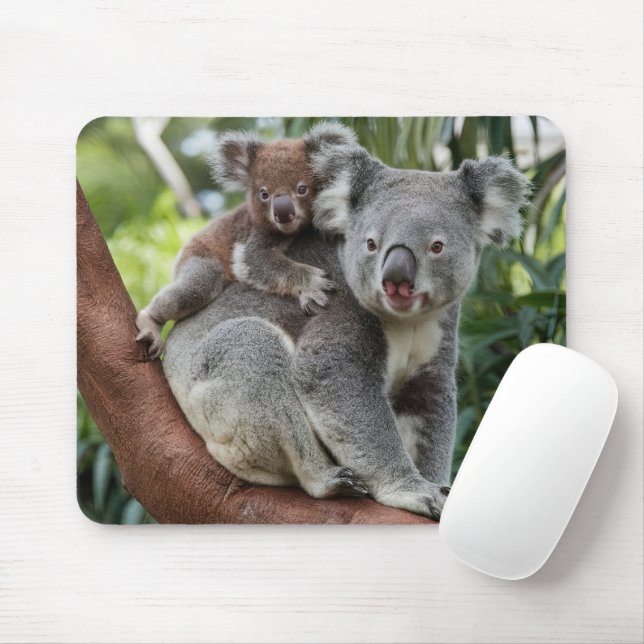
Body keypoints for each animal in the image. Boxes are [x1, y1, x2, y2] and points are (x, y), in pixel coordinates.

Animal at [135, 122, 356, 360]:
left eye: (302, 189)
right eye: (264, 194)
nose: (283, 213)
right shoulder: (255, 235)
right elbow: (255, 261)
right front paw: (314, 284)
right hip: (198, 257)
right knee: (195, 286)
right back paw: (150, 322)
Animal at [160, 127, 530, 520]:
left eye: (437, 247)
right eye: (370, 244)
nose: (395, 279)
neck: (407, 321)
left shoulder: (435, 347)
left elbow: (428, 411)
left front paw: (440, 488)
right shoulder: (336, 313)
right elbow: (338, 384)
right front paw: (414, 491)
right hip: (218, 399)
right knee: (252, 352)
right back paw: (327, 480)